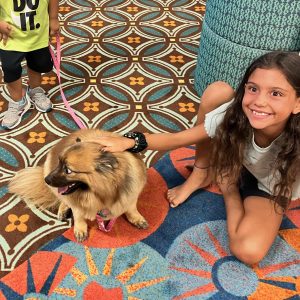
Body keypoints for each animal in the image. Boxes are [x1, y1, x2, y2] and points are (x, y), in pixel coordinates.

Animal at [9, 129, 149, 241]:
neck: (99, 195)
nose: (46, 179)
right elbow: (78, 214)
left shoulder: (131, 196)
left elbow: (131, 208)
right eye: (59, 163)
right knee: (63, 199)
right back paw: (63, 209)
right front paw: (80, 229)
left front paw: (137, 218)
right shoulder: (77, 203)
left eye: (68, 170)